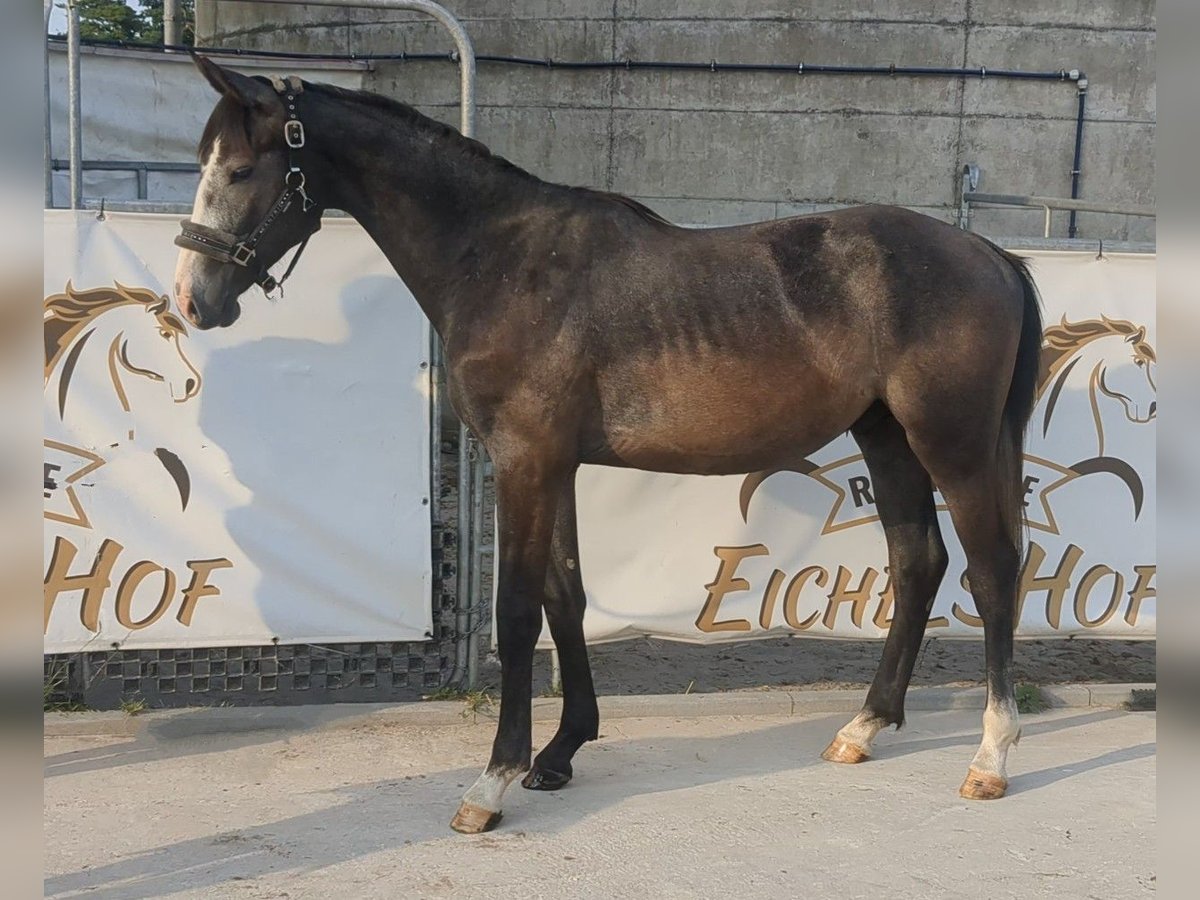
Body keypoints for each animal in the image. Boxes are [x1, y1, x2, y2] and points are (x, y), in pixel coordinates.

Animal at [174, 54, 1046, 830]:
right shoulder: (553, 465)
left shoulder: (524, 461)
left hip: (953, 441)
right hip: (885, 435)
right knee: (918, 560)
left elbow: (518, 612)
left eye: (242, 170)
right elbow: (566, 598)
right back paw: (862, 729)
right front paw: (560, 753)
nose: (191, 299)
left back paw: (991, 758)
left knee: (992, 570)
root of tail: (989, 254)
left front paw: (492, 782)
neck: (499, 258)